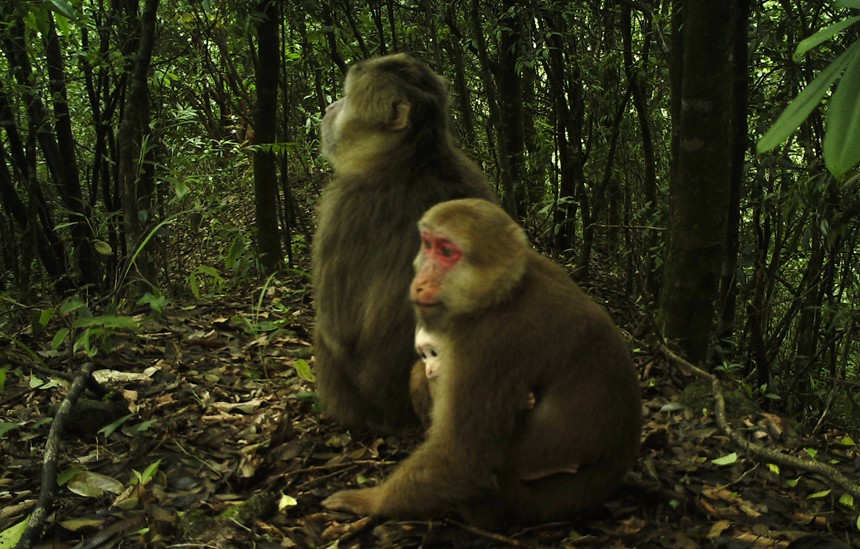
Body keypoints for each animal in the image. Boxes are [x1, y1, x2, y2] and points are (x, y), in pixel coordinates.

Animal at [326, 197, 640, 528]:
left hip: (522, 503)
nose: (420, 282)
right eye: (428, 244)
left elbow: (462, 460)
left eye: (447, 252)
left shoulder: (493, 344)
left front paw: (367, 501)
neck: (502, 293)